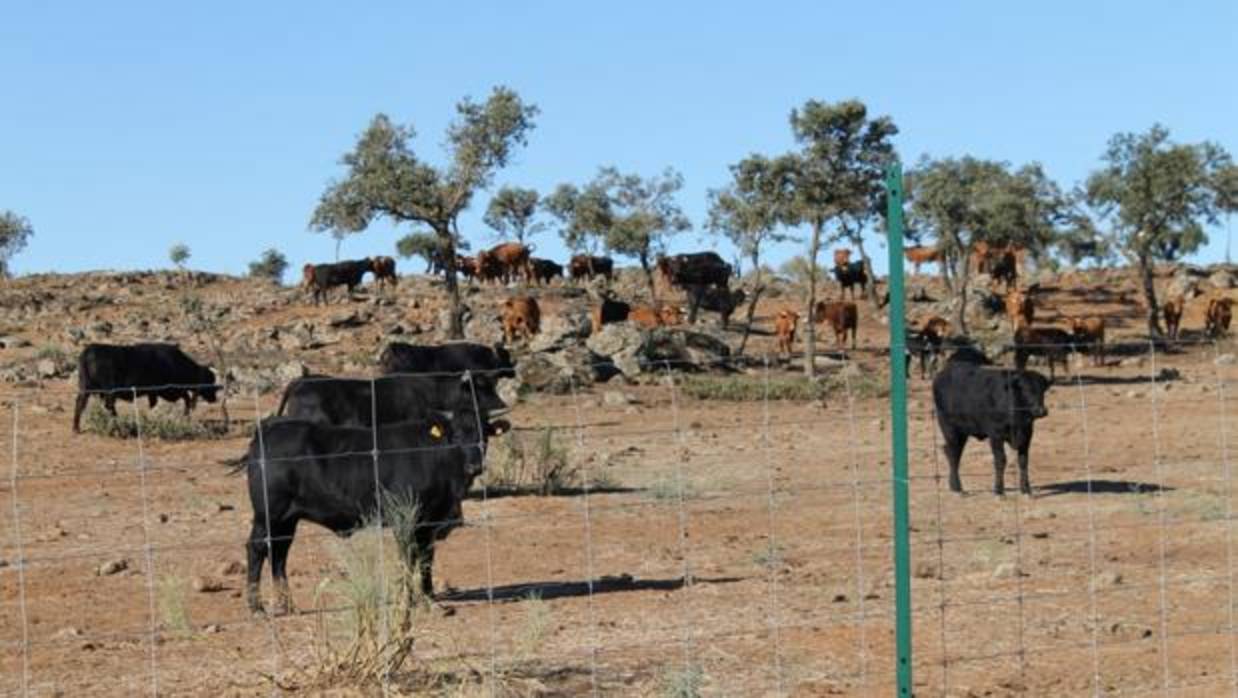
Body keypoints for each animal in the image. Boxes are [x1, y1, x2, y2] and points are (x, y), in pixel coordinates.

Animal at [72, 341, 219, 433]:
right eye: (209, 381)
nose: (215, 399)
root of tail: (89, 350)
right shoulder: (168, 391)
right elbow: (186, 397)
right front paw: (186, 414)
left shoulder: (155, 393)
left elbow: (155, 403)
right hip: (109, 391)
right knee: (109, 406)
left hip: (85, 388)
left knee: (80, 404)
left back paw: (76, 428)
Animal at [236, 400, 507, 613]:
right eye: (457, 436)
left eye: (484, 436)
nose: (474, 466)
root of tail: (266, 433)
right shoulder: (404, 520)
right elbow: (409, 558)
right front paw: (409, 600)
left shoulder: (429, 524)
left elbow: (426, 560)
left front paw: (429, 598)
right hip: (268, 515)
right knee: (257, 549)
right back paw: (256, 607)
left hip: (287, 520)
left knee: (279, 554)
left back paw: (288, 605)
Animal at [930, 349, 1049, 495]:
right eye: (1025, 389)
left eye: (1042, 390)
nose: (1041, 410)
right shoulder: (995, 435)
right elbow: (1000, 460)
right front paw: (999, 489)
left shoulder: (1027, 434)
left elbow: (1023, 461)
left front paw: (1026, 489)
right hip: (949, 428)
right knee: (953, 453)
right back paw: (957, 487)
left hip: (962, 432)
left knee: (954, 452)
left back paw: (954, 486)